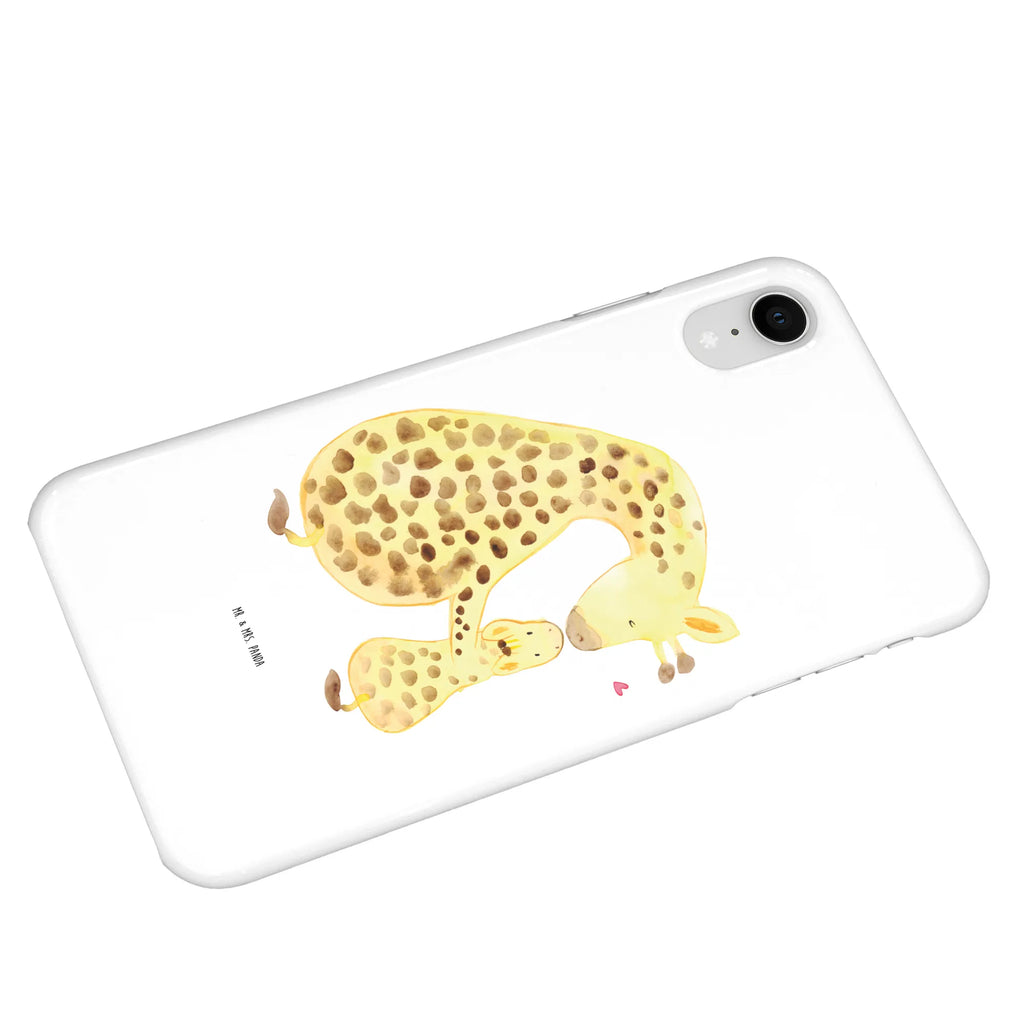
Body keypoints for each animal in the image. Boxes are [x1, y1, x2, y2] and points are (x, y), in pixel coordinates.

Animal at [268, 409, 738, 704]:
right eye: (632, 622)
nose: (577, 634)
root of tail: (316, 522)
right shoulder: (482, 562)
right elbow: (463, 629)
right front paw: (484, 654)